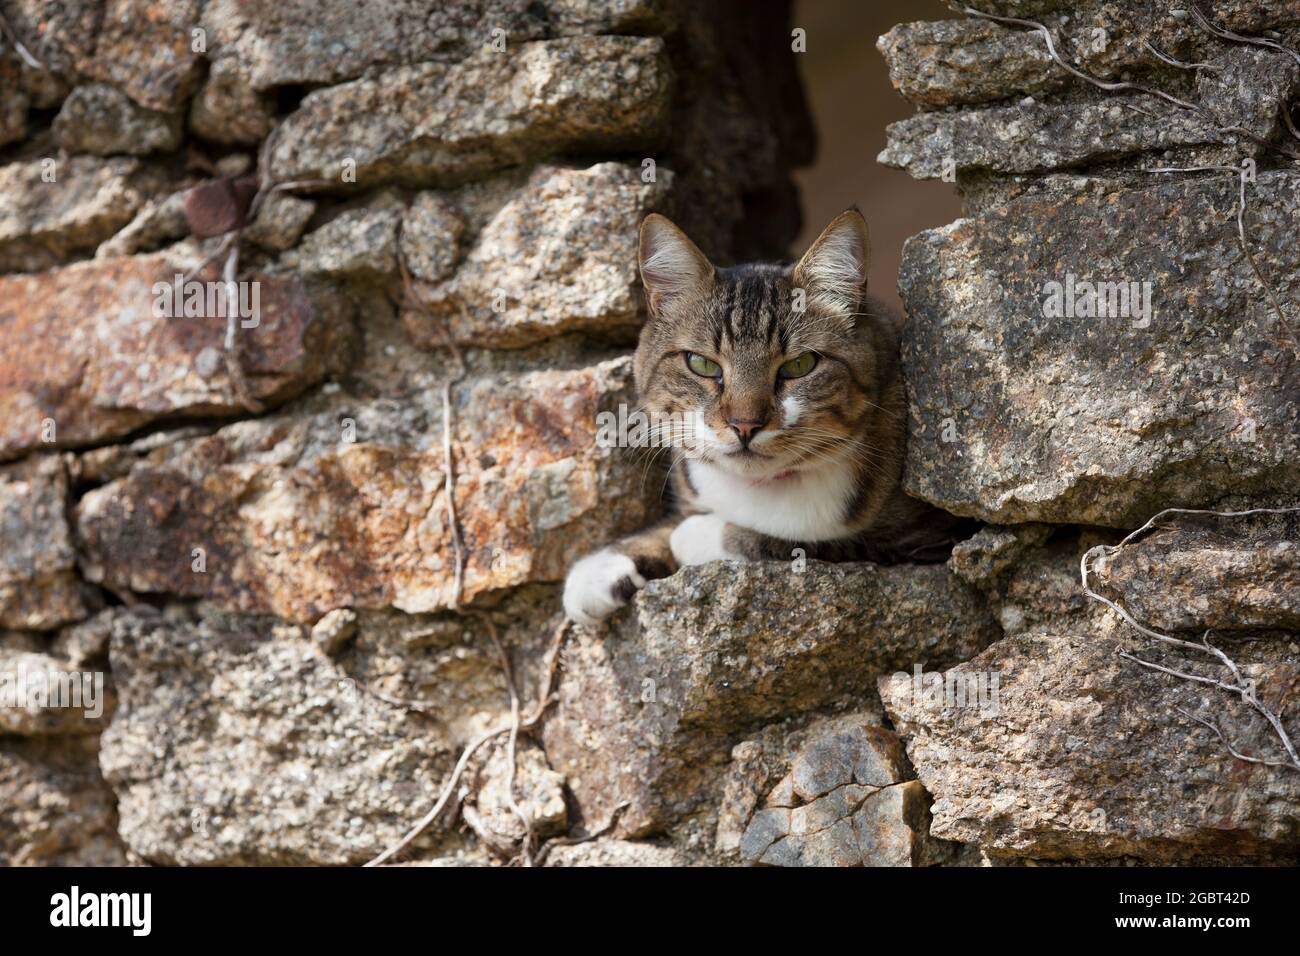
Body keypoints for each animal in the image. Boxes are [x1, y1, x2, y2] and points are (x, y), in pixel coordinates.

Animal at [561, 208, 967, 624]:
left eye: (800, 365)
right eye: (702, 364)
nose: (745, 425)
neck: (761, 487)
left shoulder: (926, 542)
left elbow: (807, 542)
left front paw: (695, 535)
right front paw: (604, 567)